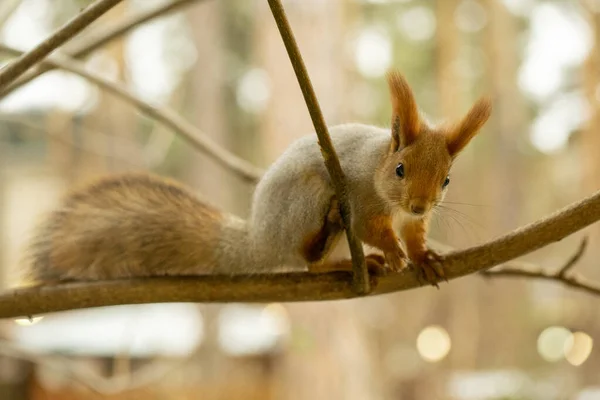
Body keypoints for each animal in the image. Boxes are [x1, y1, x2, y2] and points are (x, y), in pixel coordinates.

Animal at [21, 70, 492, 286]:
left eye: (447, 181)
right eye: (400, 170)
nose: (419, 203)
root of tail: (261, 237)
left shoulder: (412, 219)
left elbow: (415, 235)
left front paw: (424, 256)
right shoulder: (360, 198)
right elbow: (369, 227)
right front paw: (393, 253)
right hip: (307, 201)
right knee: (308, 260)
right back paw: (338, 253)